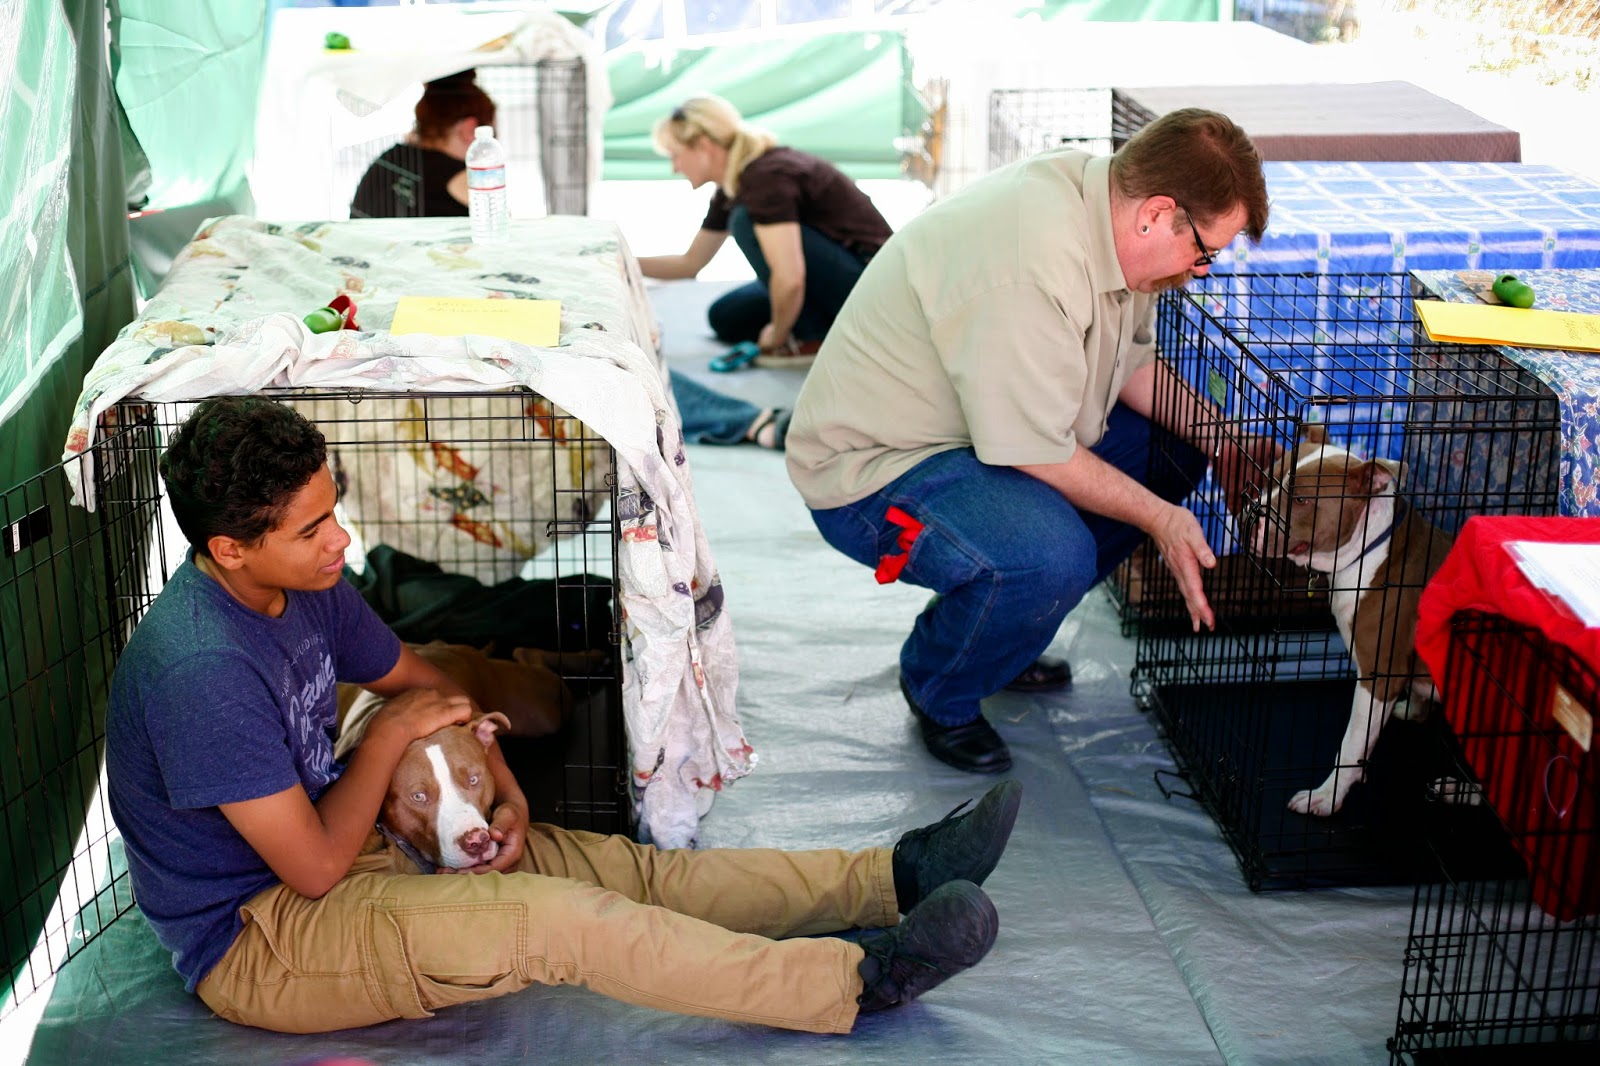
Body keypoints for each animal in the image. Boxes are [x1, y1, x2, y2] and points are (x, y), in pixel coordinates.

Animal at [1247, 426, 1454, 816]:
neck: (1370, 551)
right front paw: (1413, 706)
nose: (1251, 515)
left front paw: (1327, 796)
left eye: (1301, 499)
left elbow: (1353, 743)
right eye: (1269, 478)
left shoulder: (1378, 674)